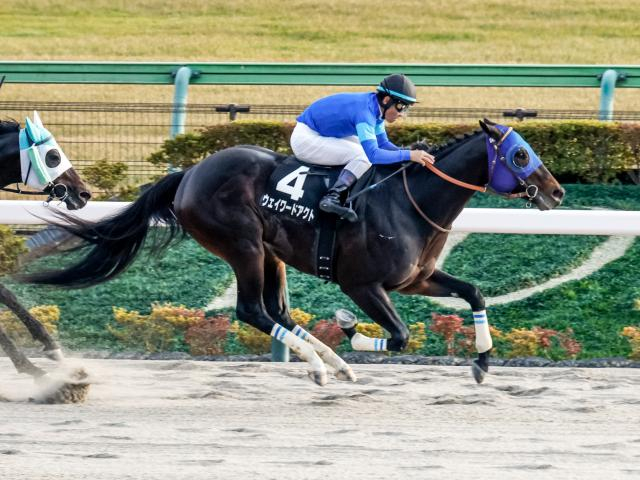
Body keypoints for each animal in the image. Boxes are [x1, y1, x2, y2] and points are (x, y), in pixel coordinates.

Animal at [22, 119, 564, 386]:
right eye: (520, 154)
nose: (556, 193)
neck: (410, 201)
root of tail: (191, 172)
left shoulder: (416, 278)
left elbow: (474, 294)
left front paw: (483, 362)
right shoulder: (363, 285)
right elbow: (401, 336)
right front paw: (350, 328)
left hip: (270, 252)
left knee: (277, 310)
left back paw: (332, 365)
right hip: (240, 244)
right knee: (252, 310)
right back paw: (324, 366)